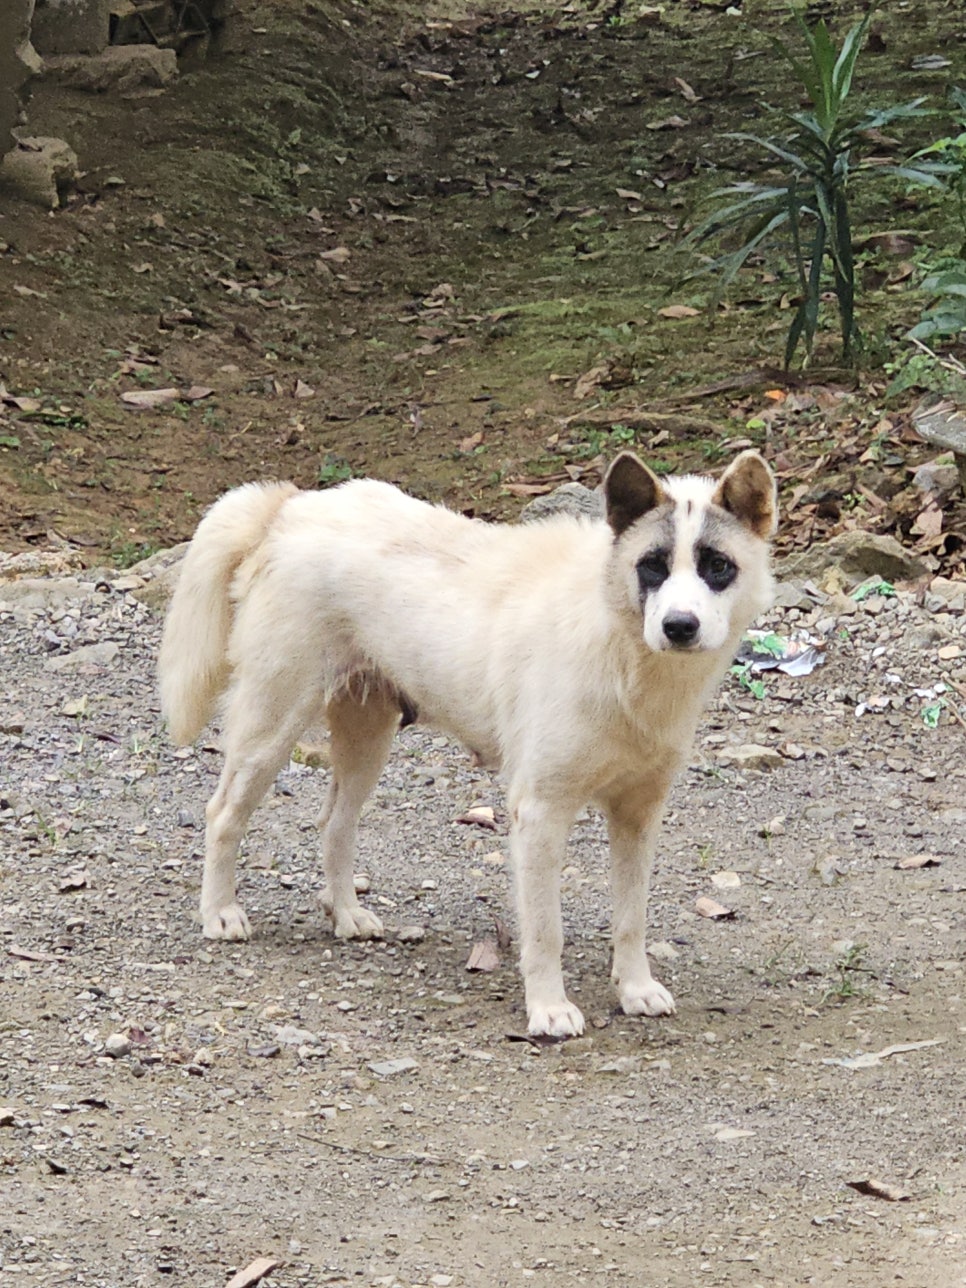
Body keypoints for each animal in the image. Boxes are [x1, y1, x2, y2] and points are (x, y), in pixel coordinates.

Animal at [159, 450, 777, 1035]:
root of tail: (293, 505)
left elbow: (631, 918)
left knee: (335, 823)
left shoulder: (638, 816)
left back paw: (346, 913)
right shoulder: (540, 814)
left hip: (367, 738)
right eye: (651, 566)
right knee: (223, 814)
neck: (620, 646)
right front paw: (549, 1009)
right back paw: (219, 912)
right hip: (272, 725)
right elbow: (545, 931)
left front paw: (635, 989)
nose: (679, 626)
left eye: (717, 567)